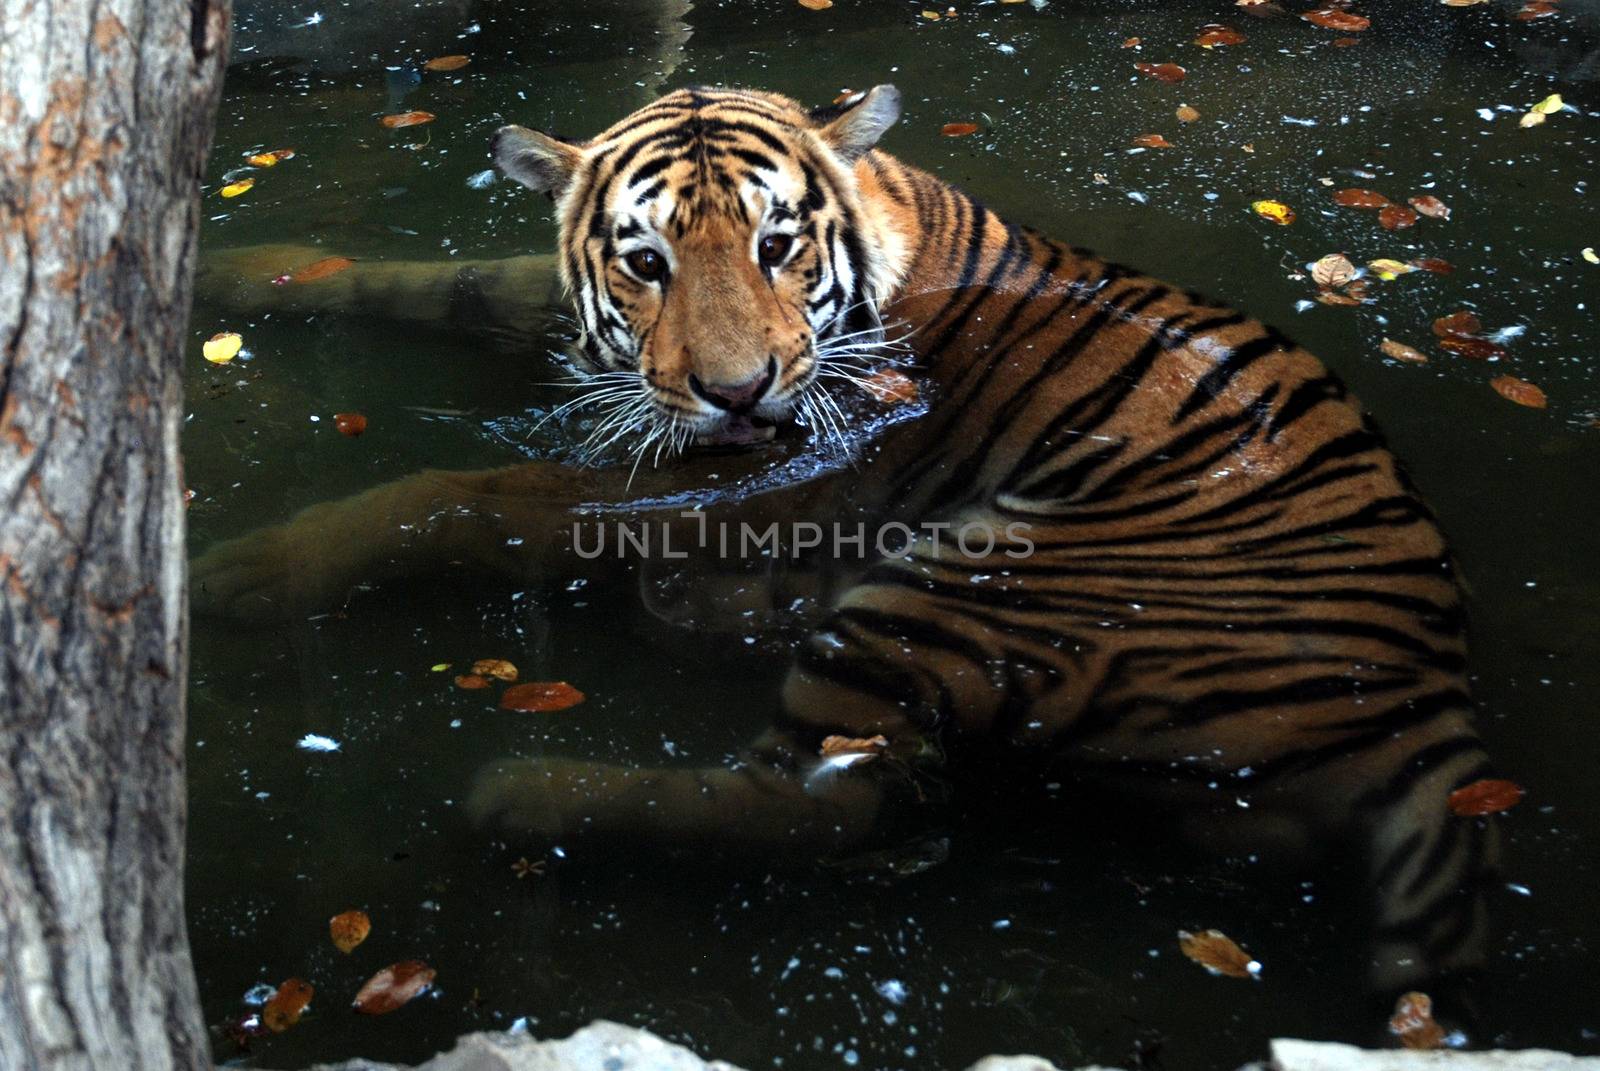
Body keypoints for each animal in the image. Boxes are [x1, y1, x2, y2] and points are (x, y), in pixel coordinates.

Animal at [196, 83, 1497, 1005]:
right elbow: (449, 281)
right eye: (645, 261)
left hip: (960, 583)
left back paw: (523, 793)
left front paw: (249, 568)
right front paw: (231, 267)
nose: (733, 391)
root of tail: (1436, 711)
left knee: (829, 805)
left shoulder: (775, 471)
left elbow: (480, 495)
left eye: (777, 245)